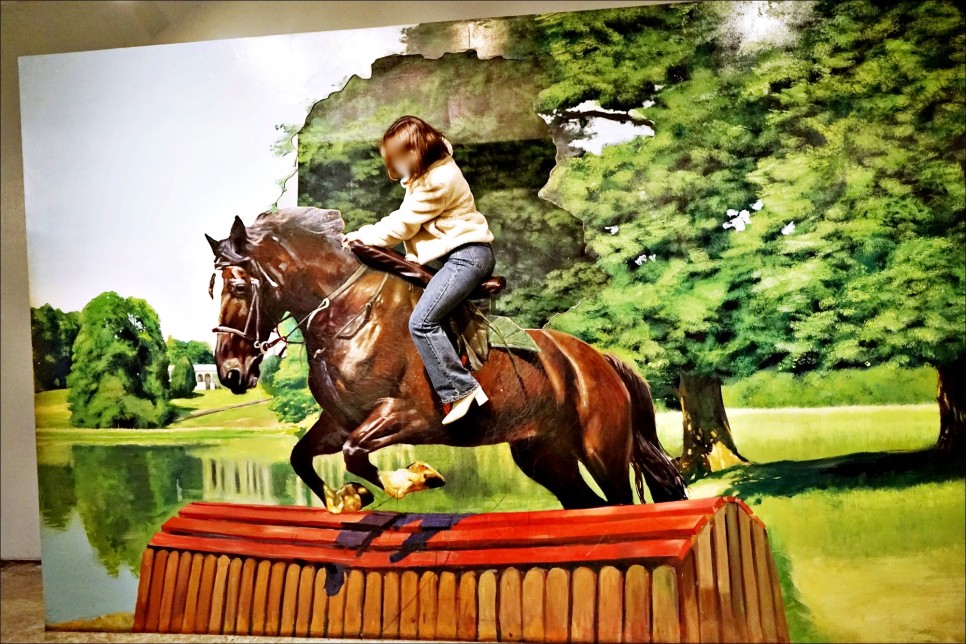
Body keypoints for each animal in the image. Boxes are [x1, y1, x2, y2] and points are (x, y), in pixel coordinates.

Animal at [206, 206, 688, 512]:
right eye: (214, 289)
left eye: (239, 287)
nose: (230, 373)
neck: (351, 317)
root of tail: (600, 360)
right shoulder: (341, 420)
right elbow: (302, 456)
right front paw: (347, 498)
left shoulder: (410, 416)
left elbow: (354, 454)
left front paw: (414, 478)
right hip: (545, 456)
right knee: (585, 504)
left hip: (602, 452)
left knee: (619, 501)